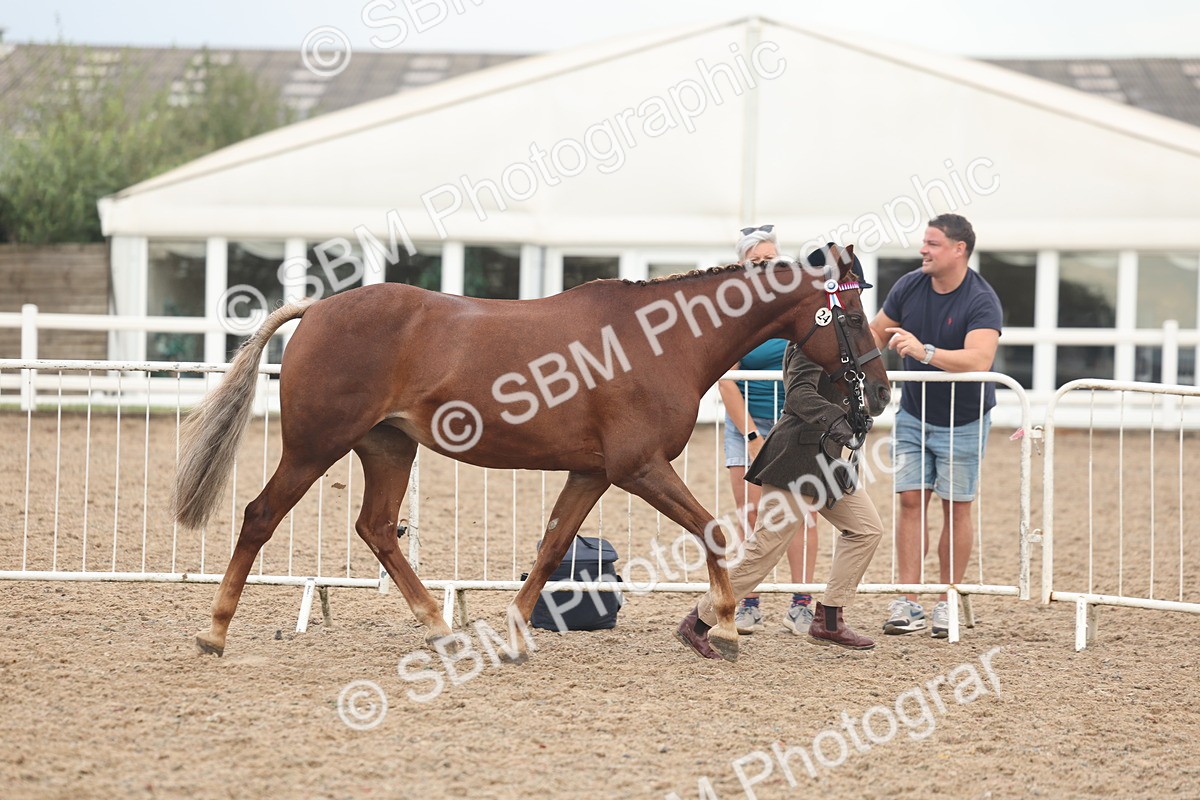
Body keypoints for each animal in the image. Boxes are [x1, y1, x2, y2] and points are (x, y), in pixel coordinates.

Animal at [173, 244, 890, 662]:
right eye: (853, 318)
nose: (879, 394)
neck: (661, 341)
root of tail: (318, 311)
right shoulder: (640, 469)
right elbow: (713, 530)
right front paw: (725, 627)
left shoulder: (593, 473)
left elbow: (551, 547)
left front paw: (516, 634)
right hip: (315, 444)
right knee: (261, 516)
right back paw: (213, 631)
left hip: (388, 448)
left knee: (376, 528)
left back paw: (439, 626)